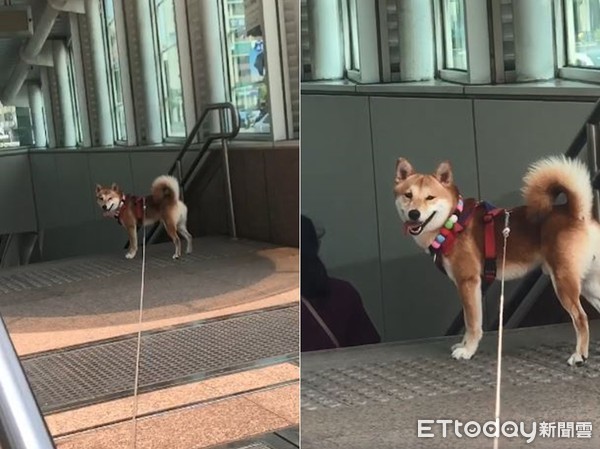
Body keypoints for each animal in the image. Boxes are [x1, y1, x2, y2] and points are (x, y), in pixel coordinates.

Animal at [394, 156, 600, 366]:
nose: (414, 214)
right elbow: (468, 321)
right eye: (408, 195)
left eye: (430, 197)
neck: (453, 221)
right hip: (589, 285)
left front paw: (468, 350)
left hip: (563, 282)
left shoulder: (468, 282)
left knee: (581, 318)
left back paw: (579, 355)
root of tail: (577, 214)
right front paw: (464, 345)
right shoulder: (472, 287)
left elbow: (473, 323)